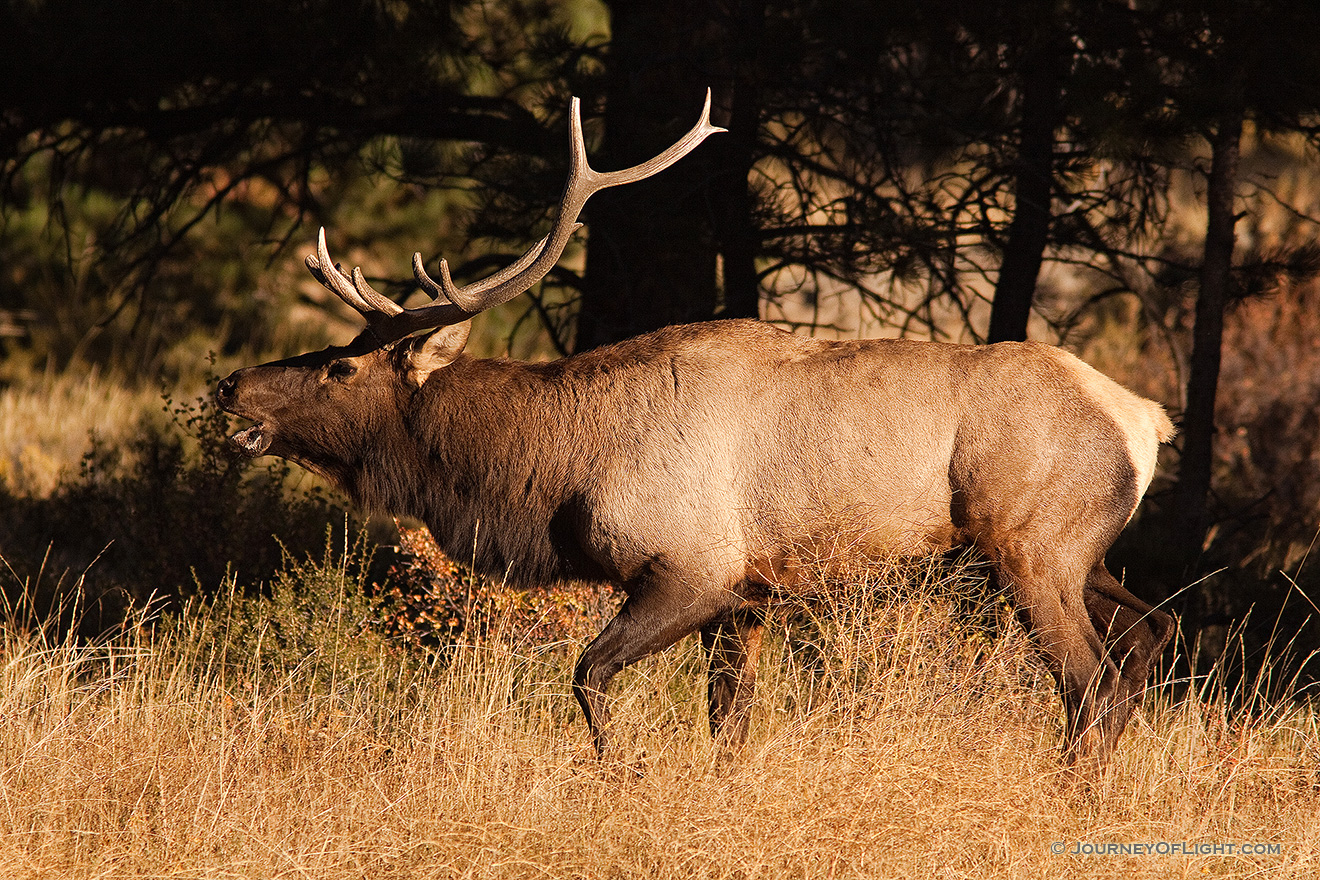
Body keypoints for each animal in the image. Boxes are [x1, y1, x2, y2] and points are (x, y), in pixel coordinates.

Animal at [216, 87, 1177, 765]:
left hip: (1030, 545)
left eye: (340, 368)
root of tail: (1147, 421)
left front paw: (625, 775)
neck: (551, 478)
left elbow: (588, 675)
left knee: (1092, 683)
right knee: (1146, 639)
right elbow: (729, 729)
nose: (229, 387)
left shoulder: (690, 567)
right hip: (1081, 551)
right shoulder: (745, 600)